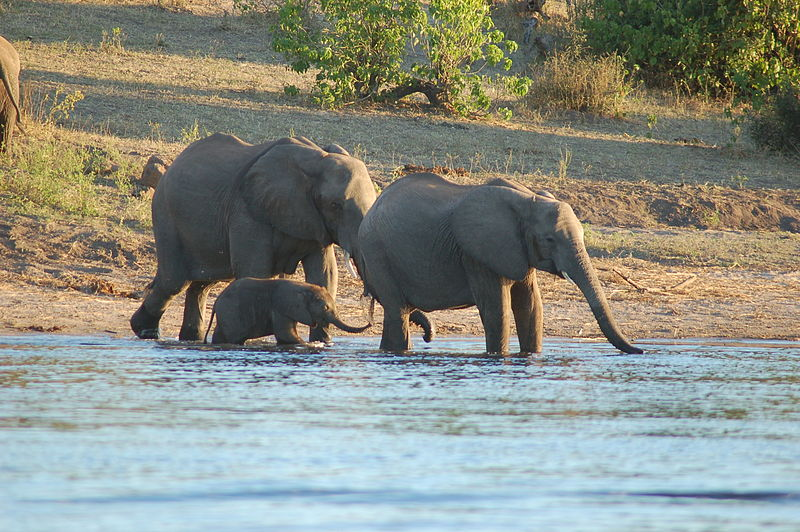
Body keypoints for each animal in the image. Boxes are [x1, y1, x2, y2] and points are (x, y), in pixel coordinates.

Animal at [130, 132, 378, 340]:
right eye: (335, 205)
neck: (316, 159)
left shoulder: (314, 222)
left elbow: (325, 274)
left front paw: (322, 343)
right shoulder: (247, 210)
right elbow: (255, 270)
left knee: (201, 285)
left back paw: (191, 338)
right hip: (166, 214)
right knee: (173, 282)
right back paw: (144, 331)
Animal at [203, 276, 372, 348]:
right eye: (325, 308)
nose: (370, 322)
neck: (304, 288)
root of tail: (217, 300)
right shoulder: (281, 307)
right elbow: (286, 335)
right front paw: (309, 345)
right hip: (232, 313)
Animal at [356, 172, 644, 356]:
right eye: (549, 239)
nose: (641, 350)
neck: (528, 200)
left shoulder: (518, 251)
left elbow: (531, 308)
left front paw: (530, 357)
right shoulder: (477, 253)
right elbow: (498, 310)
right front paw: (497, 358)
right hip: (377, 253)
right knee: (397, 312)